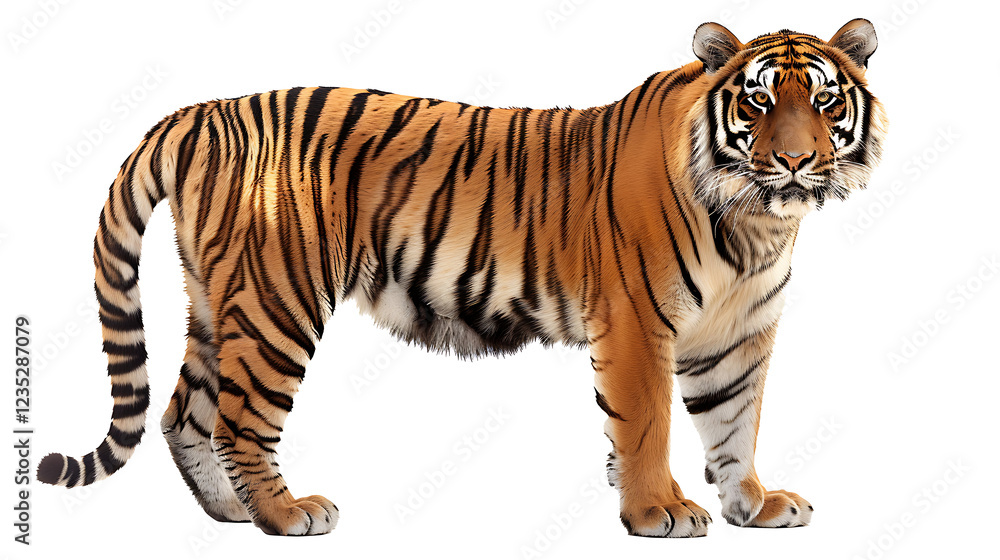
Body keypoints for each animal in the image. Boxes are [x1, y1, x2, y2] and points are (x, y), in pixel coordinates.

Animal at [36, 18, 887, 537]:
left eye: (823, 99)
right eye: (758, 101)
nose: (796, 159)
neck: (759, 224)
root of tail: (201, 110)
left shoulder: (738, 334)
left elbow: (736, 421)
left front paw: (754, 503)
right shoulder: (638, 321)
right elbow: (647, 425)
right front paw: (657, 511)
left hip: (222, 302)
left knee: (183, 412)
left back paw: (230, 513)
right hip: (277, 301)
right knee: (238, 419)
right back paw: (287, 513)